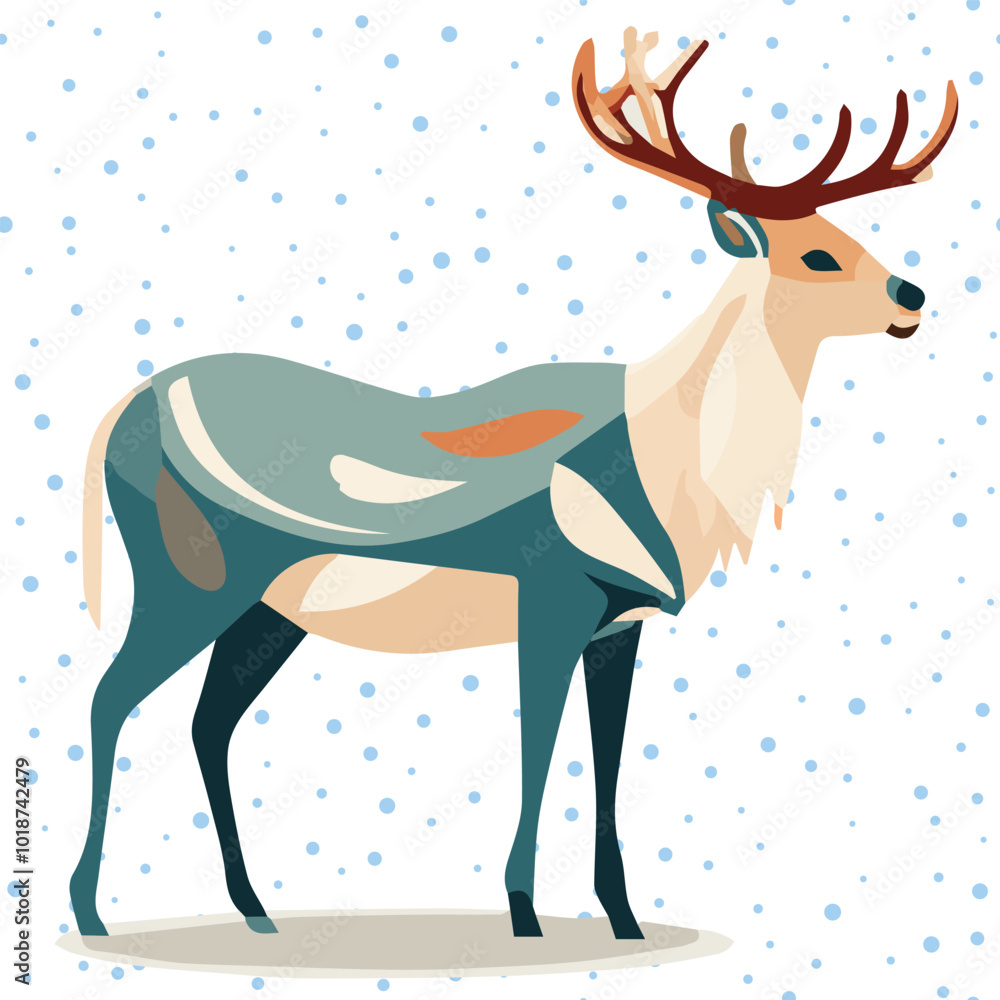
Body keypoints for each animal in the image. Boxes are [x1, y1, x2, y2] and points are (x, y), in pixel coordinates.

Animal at [69, 30, 957, 943]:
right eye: (816, 253)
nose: (914, 295)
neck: (672, 467)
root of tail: (116, 417)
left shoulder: (619, 625)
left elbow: (606, 758)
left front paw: (624, 919)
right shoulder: (552, 599)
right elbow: (538, 747)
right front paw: (525, 912)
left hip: (269, 612)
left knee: (207, 722)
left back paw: (255, 909)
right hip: (191, 581)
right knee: (108, 697)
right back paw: (91, 911)